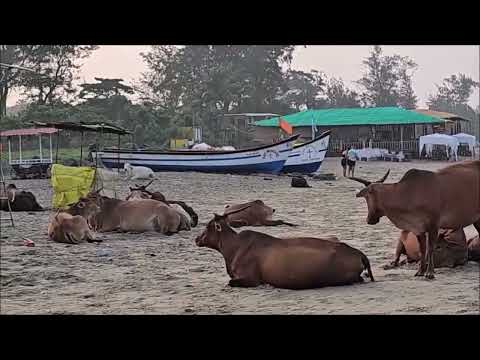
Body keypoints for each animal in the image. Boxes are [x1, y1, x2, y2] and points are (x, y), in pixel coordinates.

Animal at [195, 205, 376, 290]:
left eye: (208, 226)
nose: (197, 239)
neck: (234, 247)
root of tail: (359, 253)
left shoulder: (252, 279)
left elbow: (230, 282)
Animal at [348, 159, 480, 280]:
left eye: (367, 197)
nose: (369, 220)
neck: (407, 194)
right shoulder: (418, 228)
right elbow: (422, 249)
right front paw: (420, 271)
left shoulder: (433, 225)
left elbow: (430, 248)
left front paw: (429, 273)